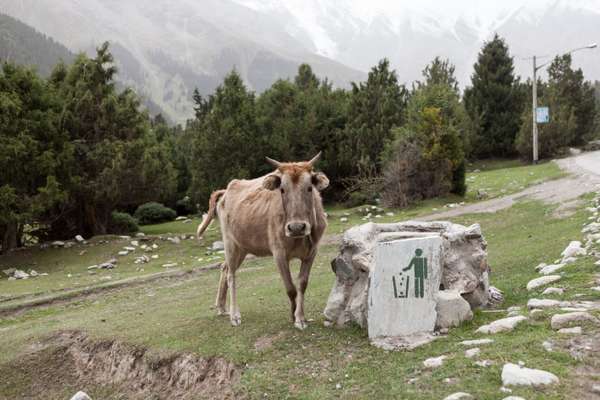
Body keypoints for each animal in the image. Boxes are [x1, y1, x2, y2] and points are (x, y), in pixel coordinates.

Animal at [196, 152, 328, 330]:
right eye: (282, 189)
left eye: (309, 188)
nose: (296, 227)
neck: (298, 239)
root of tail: (226, 190)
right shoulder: (278, 252)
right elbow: (290, 288)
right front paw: (294, 316)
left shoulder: (312, 252)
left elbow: (302, 283)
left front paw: (300, 317)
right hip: (230, 243)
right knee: (231, 275)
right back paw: (234, 315)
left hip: (242, 246)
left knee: (224, 268)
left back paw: (221, 307)